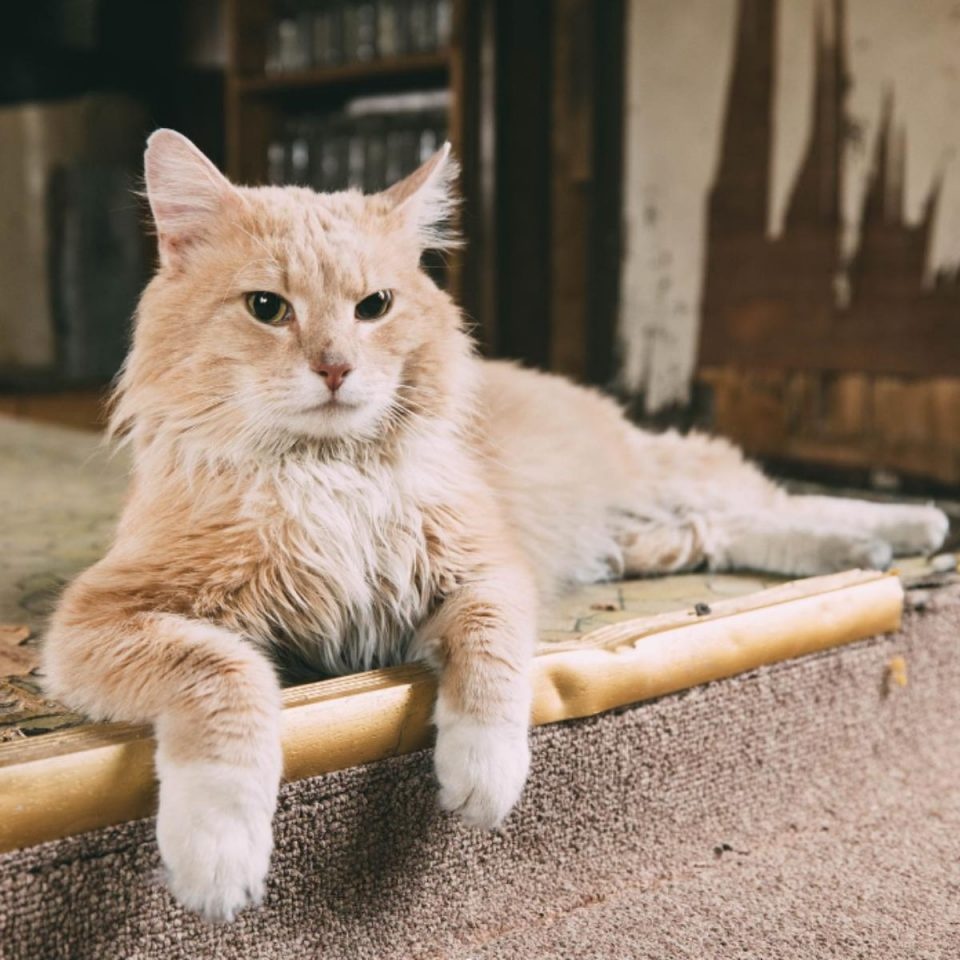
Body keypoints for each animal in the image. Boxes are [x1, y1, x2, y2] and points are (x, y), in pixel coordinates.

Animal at [41, 129, 948, 924]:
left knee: (774, 502)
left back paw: (908, 529)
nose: (335, 368)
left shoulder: (486, 572)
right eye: (267, 308)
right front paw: (219, 851)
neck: (327, 473)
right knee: (728, 530)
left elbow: (491, 666)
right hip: (649, 525)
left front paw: (481, 775)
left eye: (374, 307)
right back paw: (870, 548)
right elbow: (226, 678)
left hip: (658, 474)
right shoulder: (103, 618)